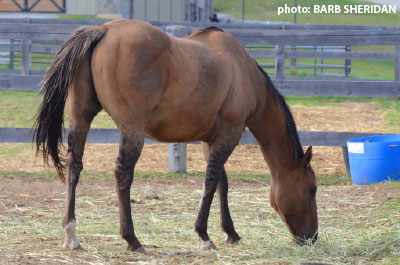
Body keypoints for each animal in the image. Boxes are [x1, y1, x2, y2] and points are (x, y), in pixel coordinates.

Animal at [32, 19, 318, 252]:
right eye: (312, 189)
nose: (312, 237)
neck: (242, 72)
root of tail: (103, 29)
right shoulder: (229, 134)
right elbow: (211, 182)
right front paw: (204, 235)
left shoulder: (210, 140)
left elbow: (221, 183)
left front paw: (231, 233)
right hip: (132, 129)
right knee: (123, 173)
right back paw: (132, 239)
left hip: (81, 117)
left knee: (74, 166)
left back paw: (71, 235)